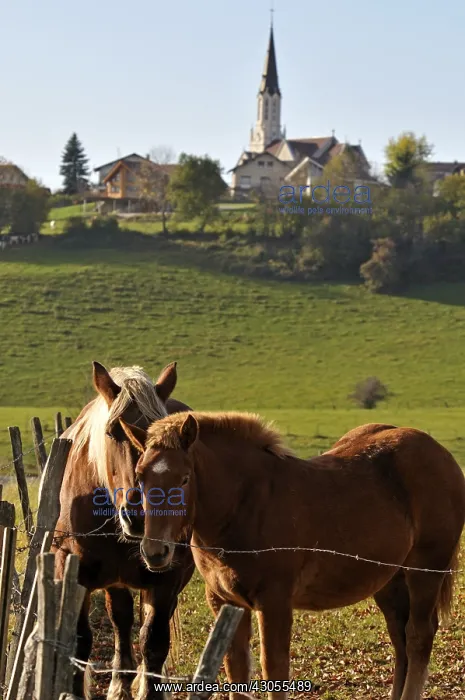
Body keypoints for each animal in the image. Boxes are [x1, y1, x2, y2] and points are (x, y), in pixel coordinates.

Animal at [53, 362, 195, 700]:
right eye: (111, 432)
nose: (141, 517)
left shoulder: (168, 577)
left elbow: (153, 642)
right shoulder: (71, 572)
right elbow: (80, 641)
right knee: (120, 619)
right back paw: (119, 684)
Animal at [119, 412, 465, 700]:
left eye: (184, 478)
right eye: (140, 476)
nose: (155, 552)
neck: (245, 505)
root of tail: (442, 455)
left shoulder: (274, 602)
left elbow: (274, 668)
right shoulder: (225, 602)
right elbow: (236, 671)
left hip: (426, 570)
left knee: (418, 635)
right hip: (389, 579)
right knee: (399, 636)